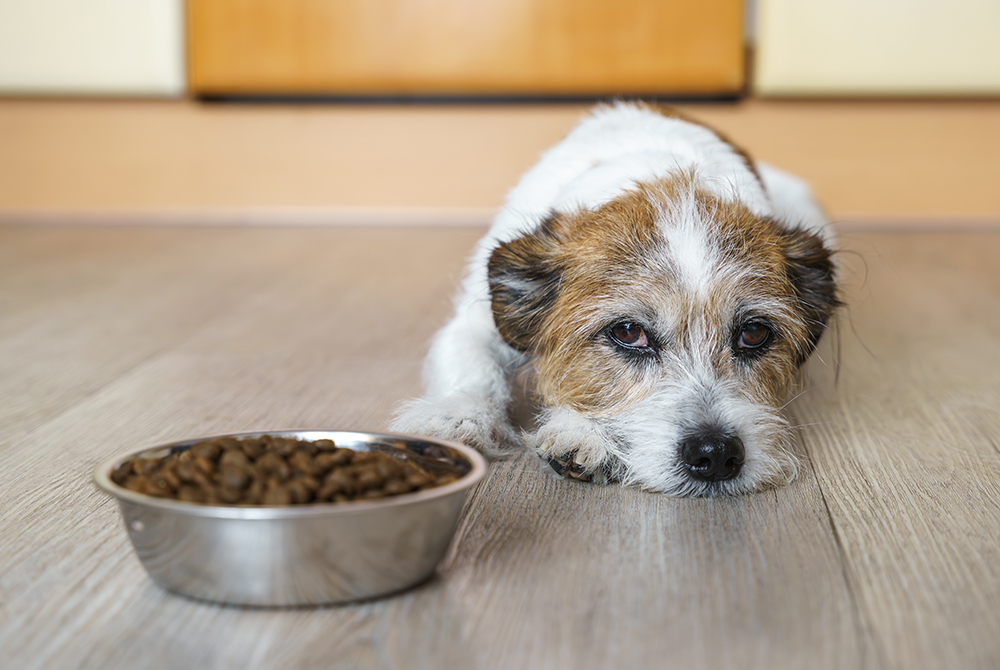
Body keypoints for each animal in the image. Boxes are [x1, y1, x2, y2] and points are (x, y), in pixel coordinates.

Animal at [390, 101, 836, 498]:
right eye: (628, 332)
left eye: (754, 333)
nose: (715, 454)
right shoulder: (477, 319)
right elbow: (473, 364)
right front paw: (454, 415)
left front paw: (582, 430)